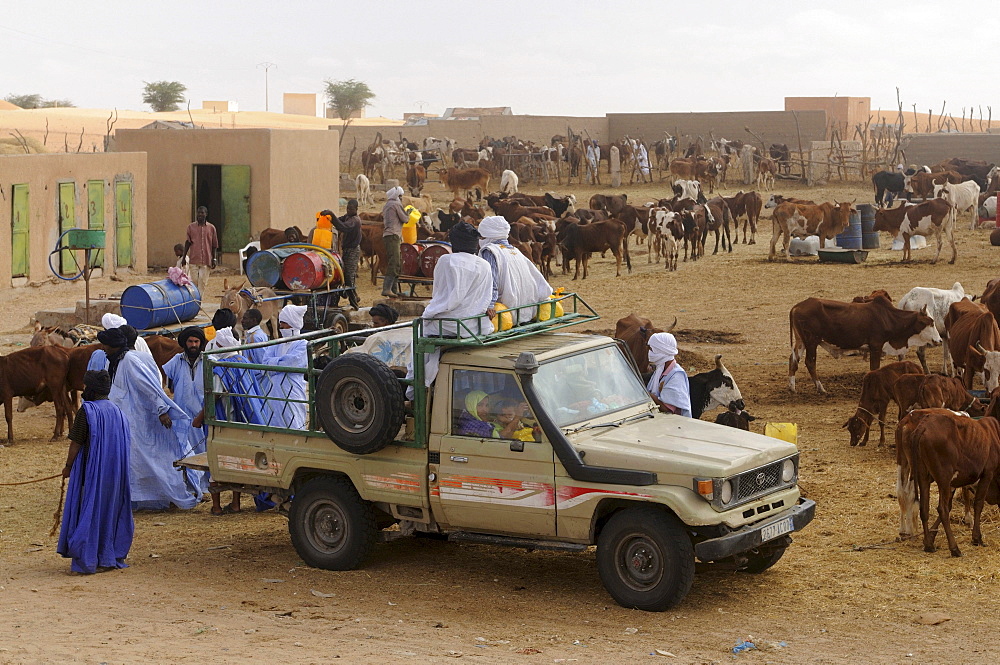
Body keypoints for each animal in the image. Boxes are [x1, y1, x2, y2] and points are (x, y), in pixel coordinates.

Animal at [788, 296, 936, 394]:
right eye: (929, 322)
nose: (939, 340)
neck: (888, 317)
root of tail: (797, 306)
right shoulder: (876, 347)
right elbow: (874, 368)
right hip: (811, 342)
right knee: (810, 362)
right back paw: (821, 389)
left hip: (801, 341)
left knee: (793, 360)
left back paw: (792, 387)